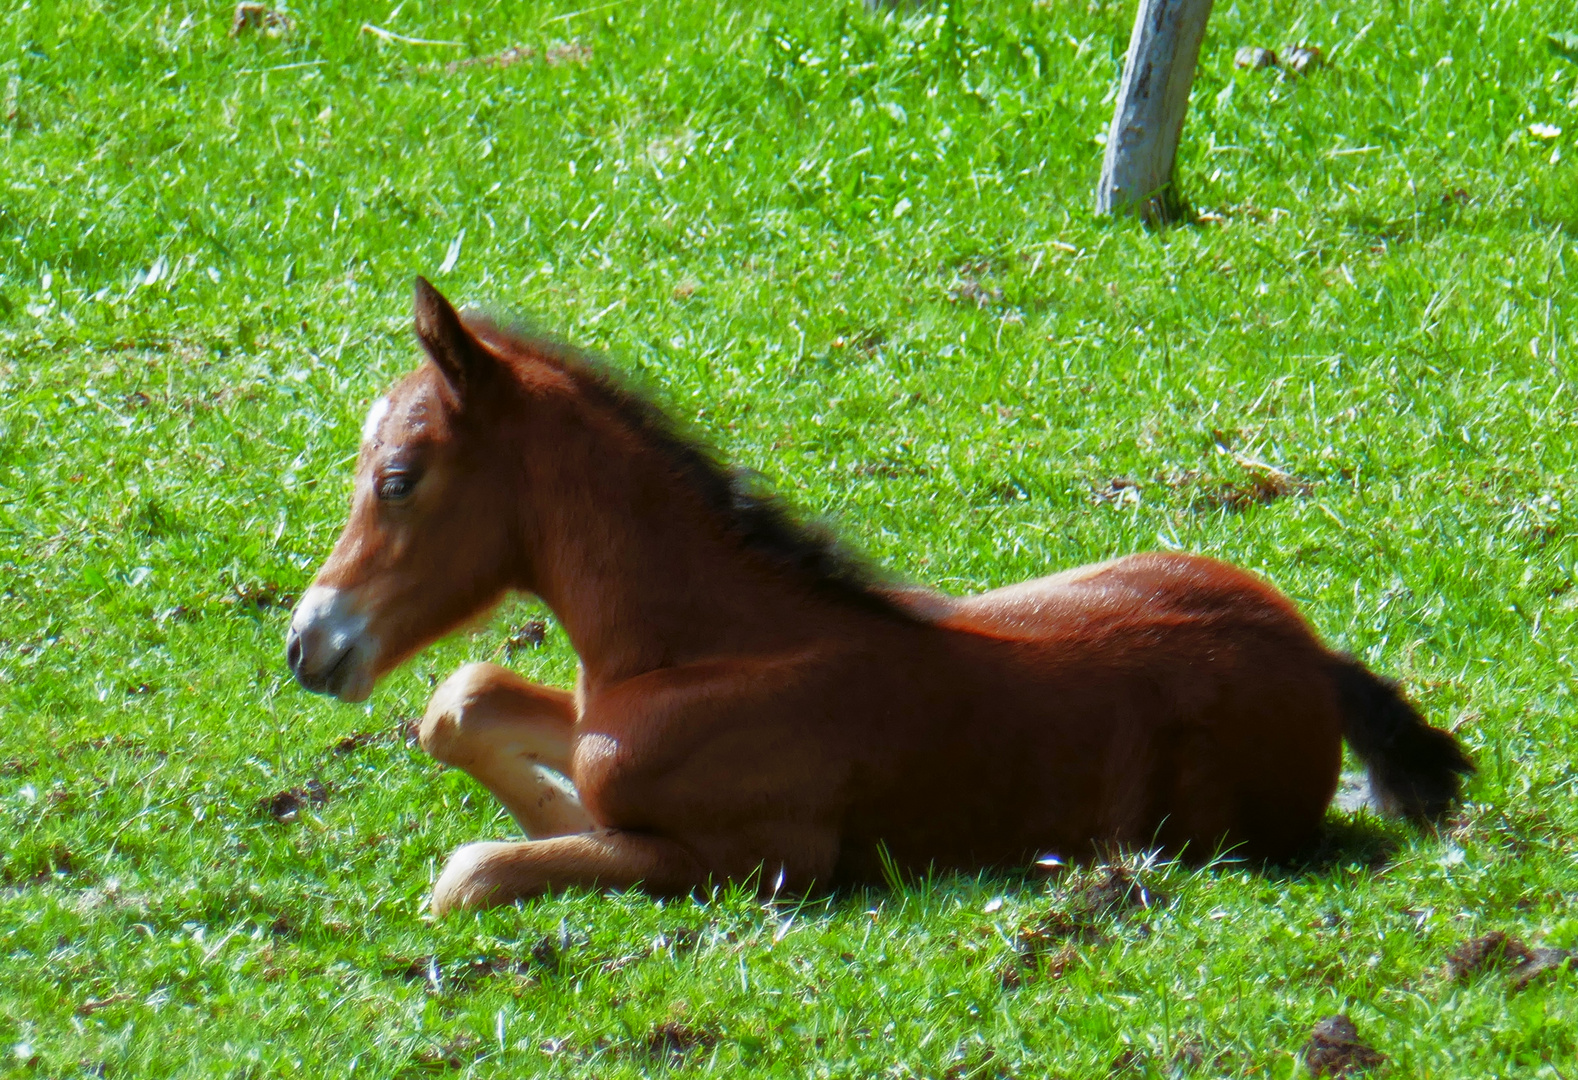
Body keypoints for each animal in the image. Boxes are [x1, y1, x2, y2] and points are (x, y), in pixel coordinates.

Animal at [287, 277, 1477, 909]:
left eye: (399, 479)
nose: (308, 643)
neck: (706, 646)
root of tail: (1311, 658)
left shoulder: (759, 861)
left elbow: (470, 871)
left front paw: (553, 821)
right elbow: (465, 698)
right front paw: (562, 797)